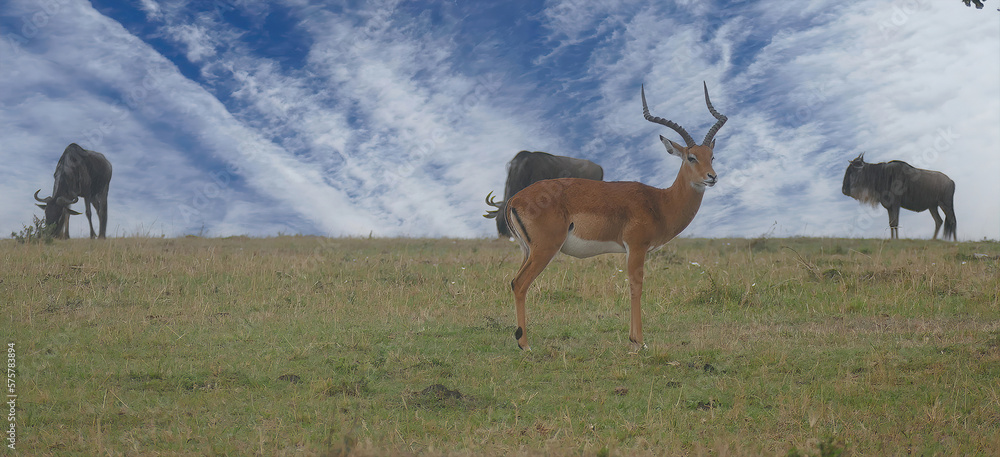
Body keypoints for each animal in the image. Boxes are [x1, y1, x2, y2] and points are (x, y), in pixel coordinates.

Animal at [500, 82, 727, 351]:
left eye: (711, 156)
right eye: (691, 157)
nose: (712, 177)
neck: (660, 202)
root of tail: (515, 199)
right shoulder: (637, 247)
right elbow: (636, 287)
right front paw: (638, 342)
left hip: (528, 250)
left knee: (514, 282)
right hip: (545, 249)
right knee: (520, 283)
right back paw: (525, 345)